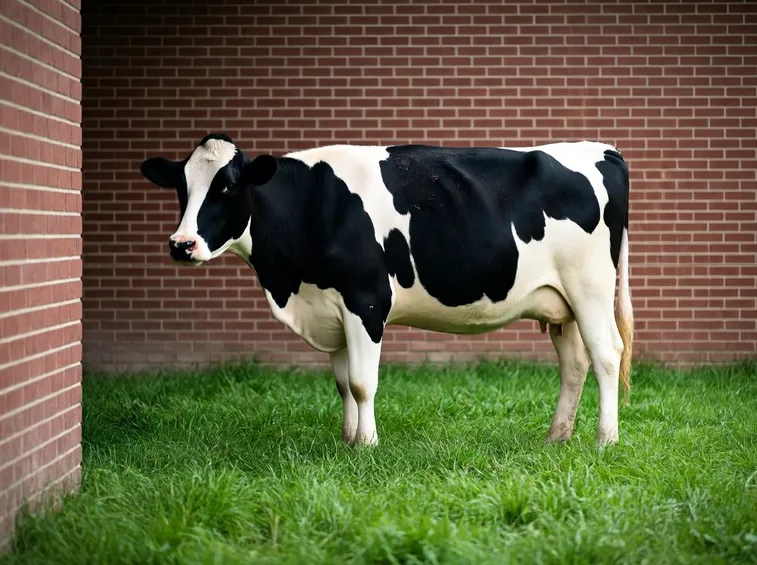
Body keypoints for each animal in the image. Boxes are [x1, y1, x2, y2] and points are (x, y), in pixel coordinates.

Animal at [140, 134, 633, 448]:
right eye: (182, 187)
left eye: (226, 186)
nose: (181, 244)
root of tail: (602, 149)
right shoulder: (333, 308)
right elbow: (342, 384)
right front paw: (347, 441)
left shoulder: (366, 301)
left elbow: (362, 383)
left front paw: (368, 445)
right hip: (561, 303)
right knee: (575, 364)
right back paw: (556, 438)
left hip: (590, 286)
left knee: (607, 354)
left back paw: (605, 440)